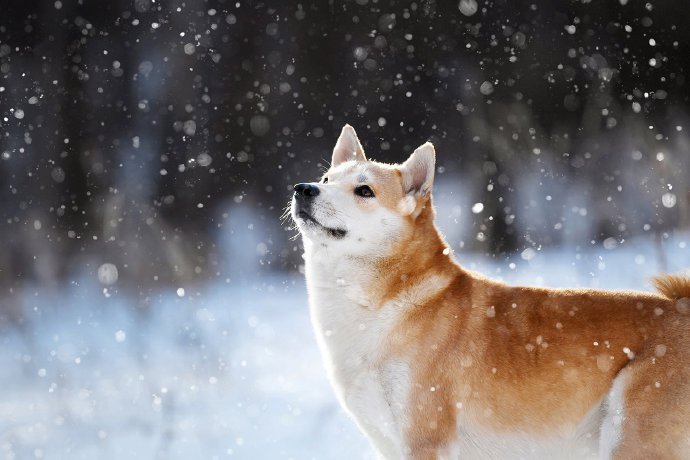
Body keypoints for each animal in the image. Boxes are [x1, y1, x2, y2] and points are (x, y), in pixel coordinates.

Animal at [288, 123, 688, 460]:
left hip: (631, 440)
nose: (303, 188)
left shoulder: (426, 437)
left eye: (364, 190)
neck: (385, 305)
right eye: (326, 178)